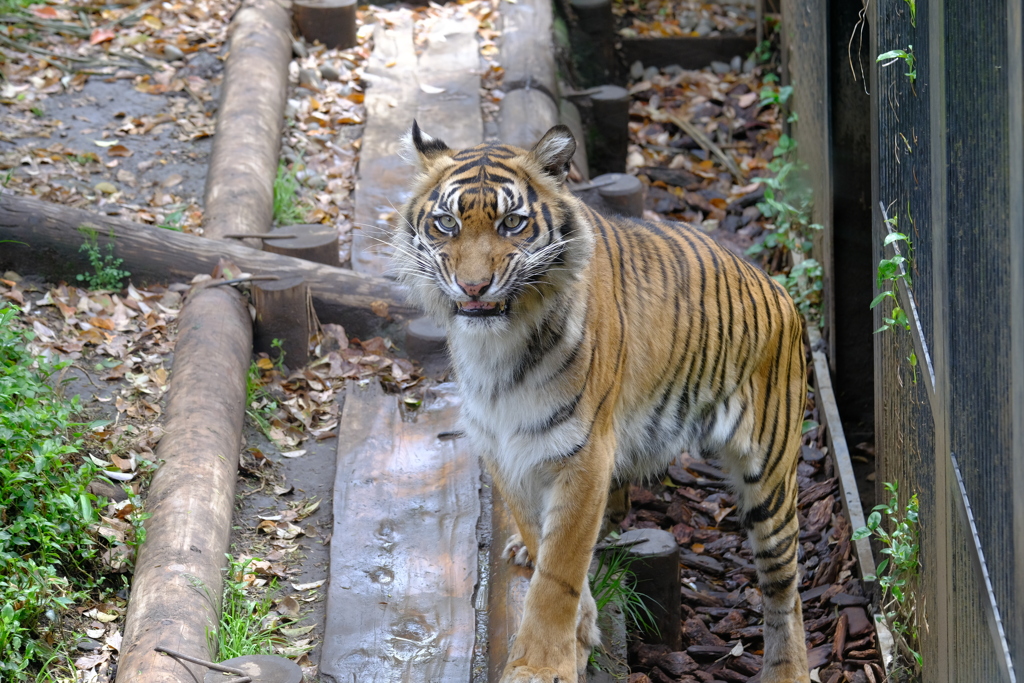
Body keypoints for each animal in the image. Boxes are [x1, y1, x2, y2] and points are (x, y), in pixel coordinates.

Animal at [391, 122, 806, 683]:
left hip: (770, 474)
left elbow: (558, 569)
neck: (496, 349)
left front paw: (539, 665)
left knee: (785, 590)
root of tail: (781, 291)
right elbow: (541, 534)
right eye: (445, 223)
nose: (473, 287)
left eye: (512, 222)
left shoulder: (583, 452)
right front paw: (580, 623)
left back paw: (789, 669)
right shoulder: (504, 446)